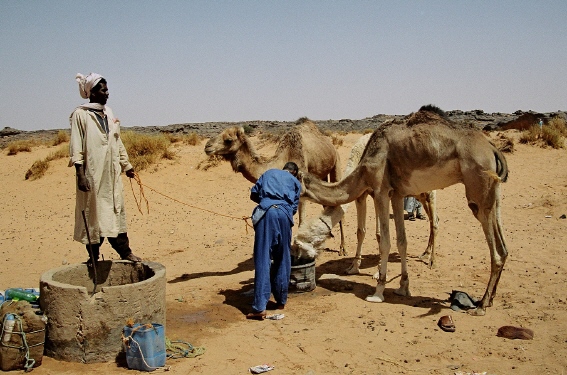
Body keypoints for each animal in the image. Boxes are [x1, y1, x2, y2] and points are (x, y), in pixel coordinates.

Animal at [205, 117, 346, 250]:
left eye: (228, 140)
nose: (207, 146)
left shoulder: (302, 186)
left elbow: (301, 222)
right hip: (322, 173)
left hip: (336, 162)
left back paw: (342, 248)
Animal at [292, 134, 440, 274]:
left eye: (302, 242)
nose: (296, 257)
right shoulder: (361, 195)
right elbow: (360, 231)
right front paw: (353, 267)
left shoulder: (378, 193)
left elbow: (379, 234)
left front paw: (378, 271)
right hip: (420, 195)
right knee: (433, 219)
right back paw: (425, 253)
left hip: (430, 191)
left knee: (435, 222)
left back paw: (432, 261)